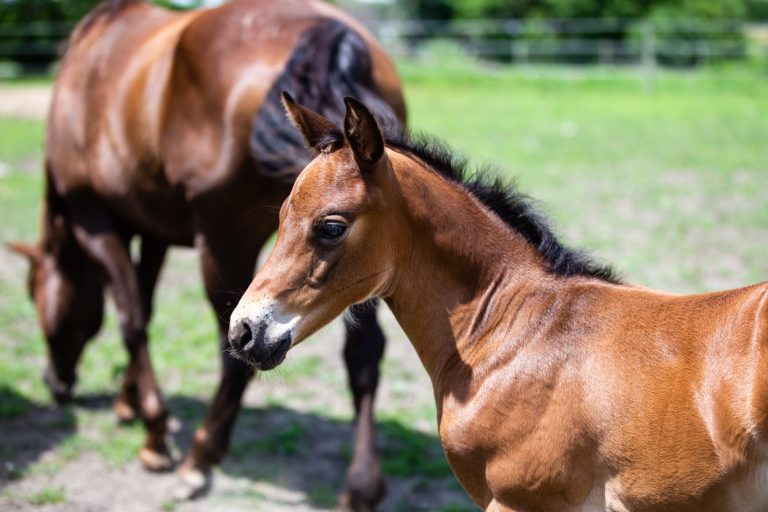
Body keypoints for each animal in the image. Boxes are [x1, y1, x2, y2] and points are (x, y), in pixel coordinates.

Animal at [7, 0, 406, 508]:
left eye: (35, 296)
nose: (53, 383)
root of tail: (330, 35)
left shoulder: (95, 220)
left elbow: (131, 320)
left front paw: (155, 434)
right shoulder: (153, 228)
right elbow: (145, 305)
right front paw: (128, 402)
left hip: (225, 245)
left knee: (237, 353)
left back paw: (200, 457)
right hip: (363, 260)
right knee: (364, 354)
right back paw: (360, 487)